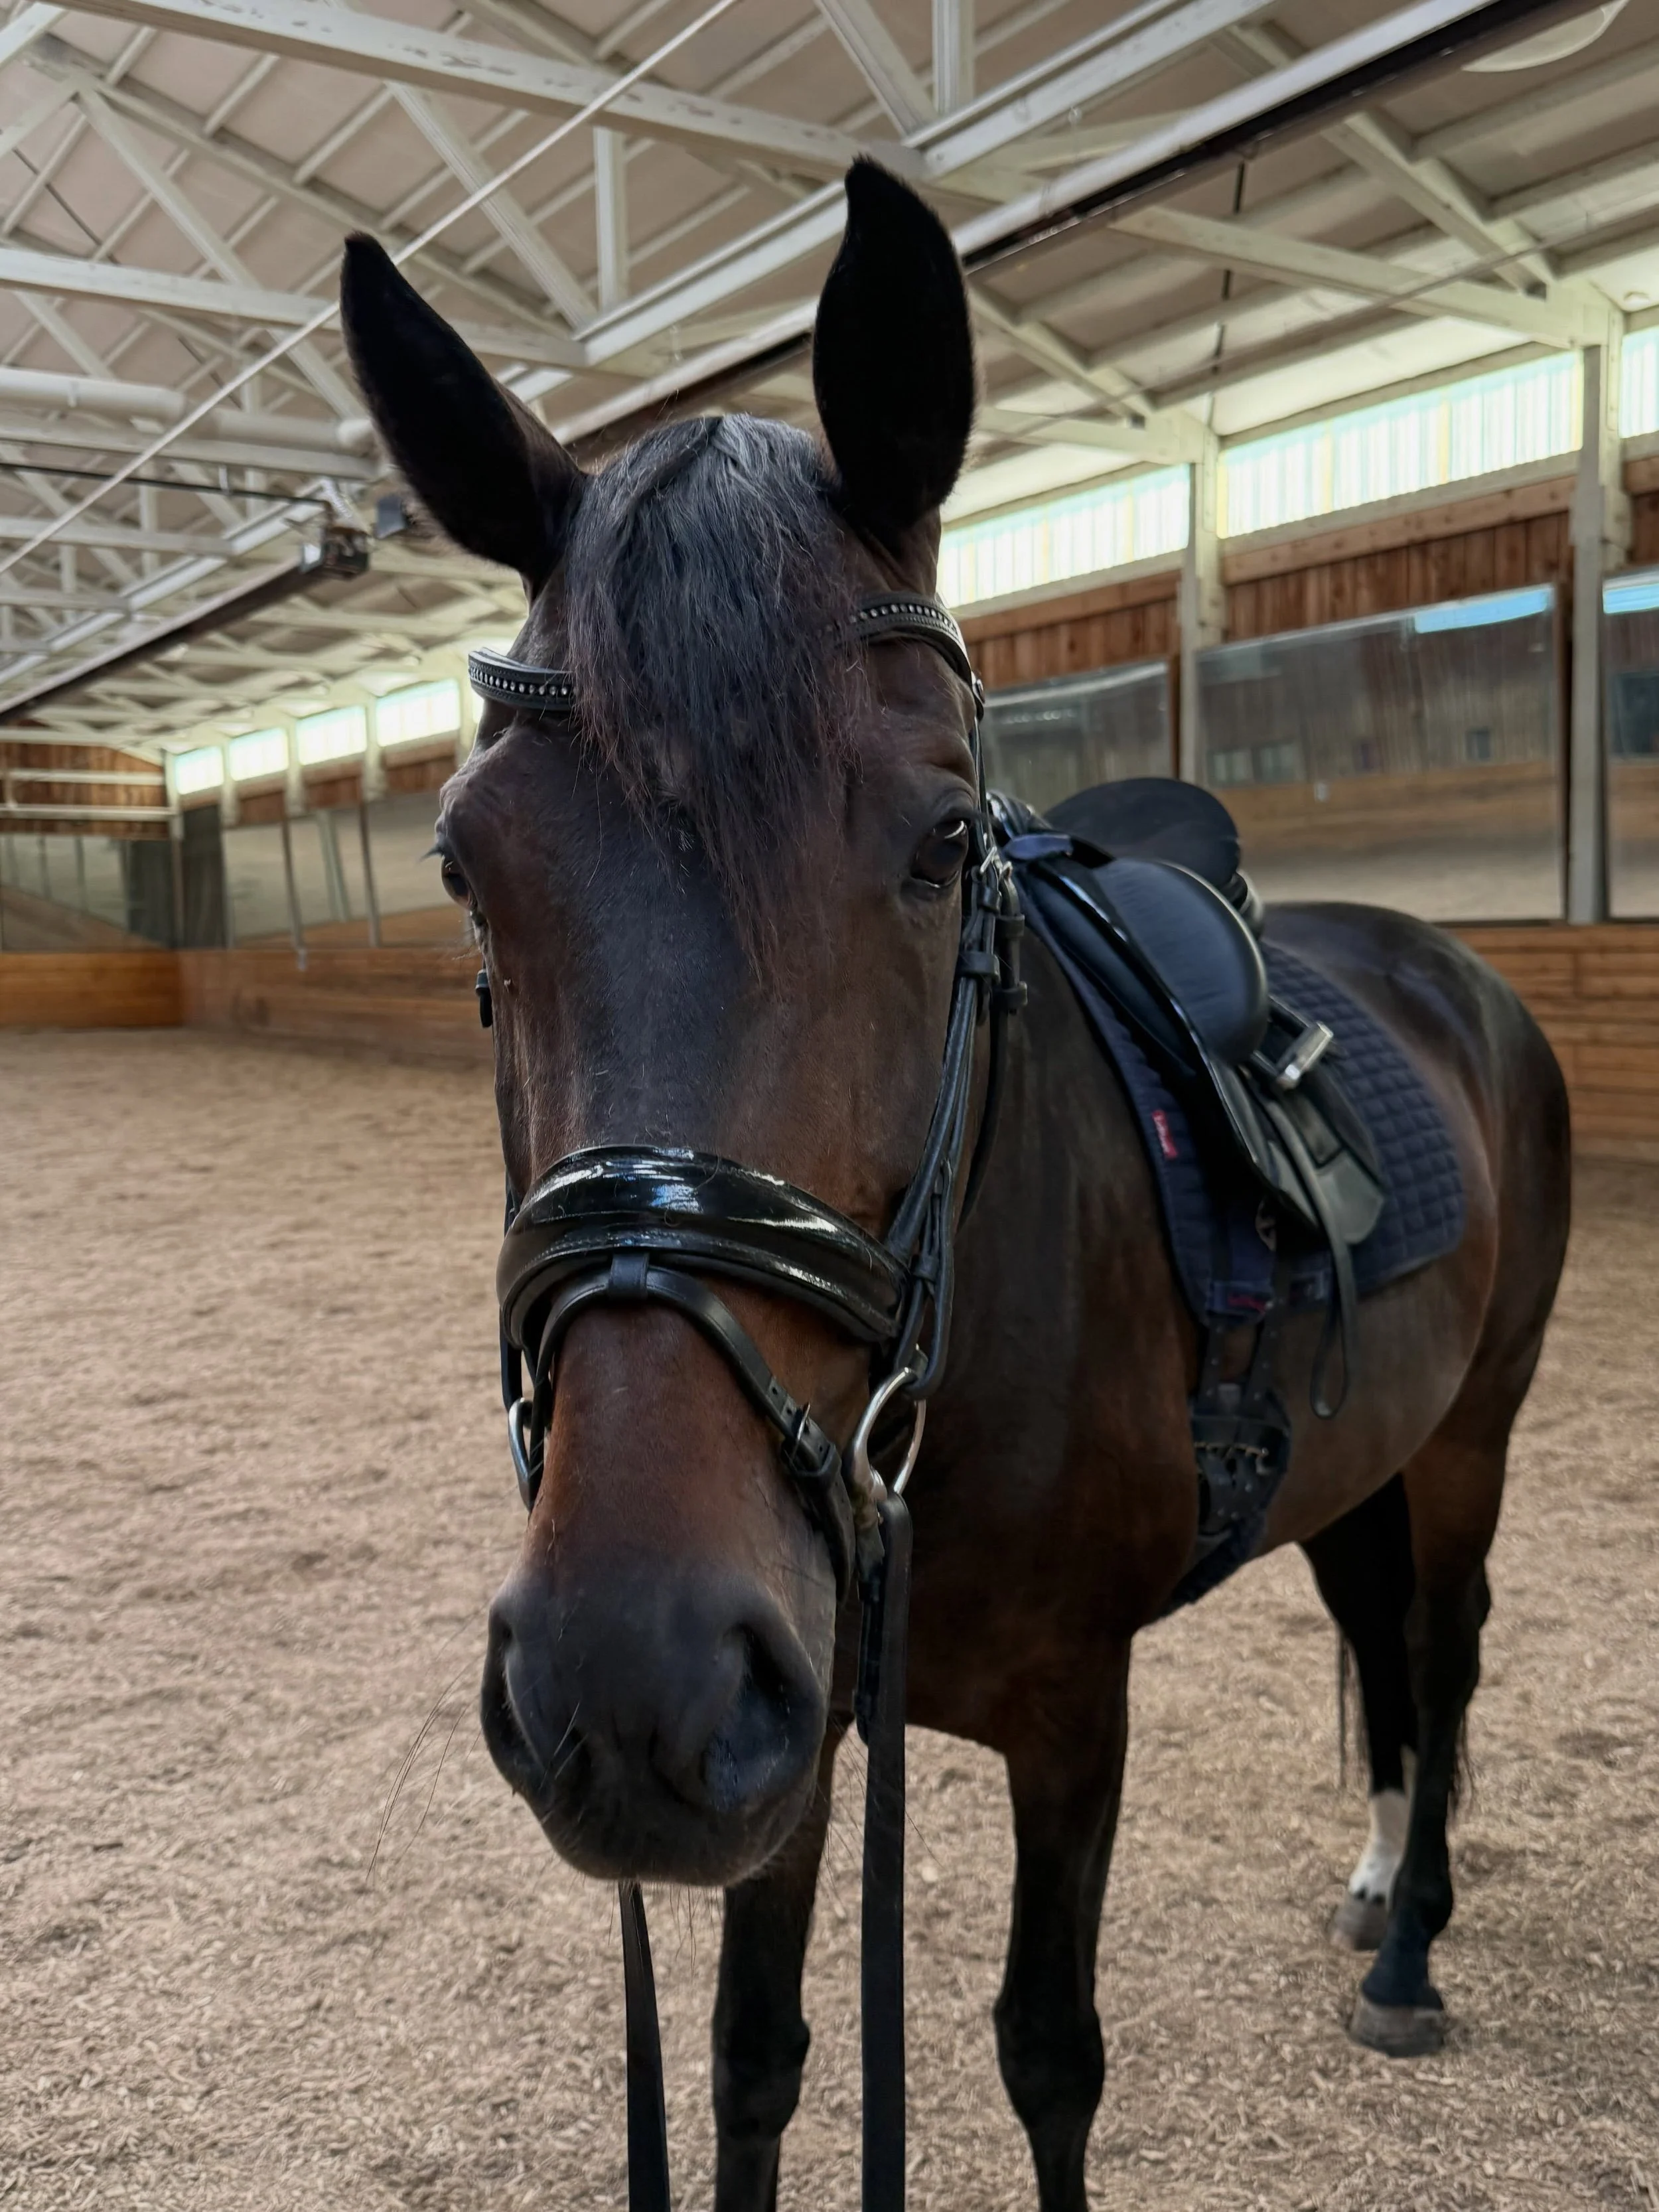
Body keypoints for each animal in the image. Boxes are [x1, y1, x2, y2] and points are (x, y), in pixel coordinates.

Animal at [339, 159, 1571, 2212]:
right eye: (461, 869)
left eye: (936, 841)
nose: (623, 1674)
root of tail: (1448, 967)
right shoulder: (791, 1732)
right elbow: (752, 2058)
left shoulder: (1074, 1714)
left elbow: (1046, 2056)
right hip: (1365, 1452)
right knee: (1377, 1641)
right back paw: (1376, 1880)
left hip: (1474, 1434)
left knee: (1442, 1650)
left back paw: (1410, 1947)